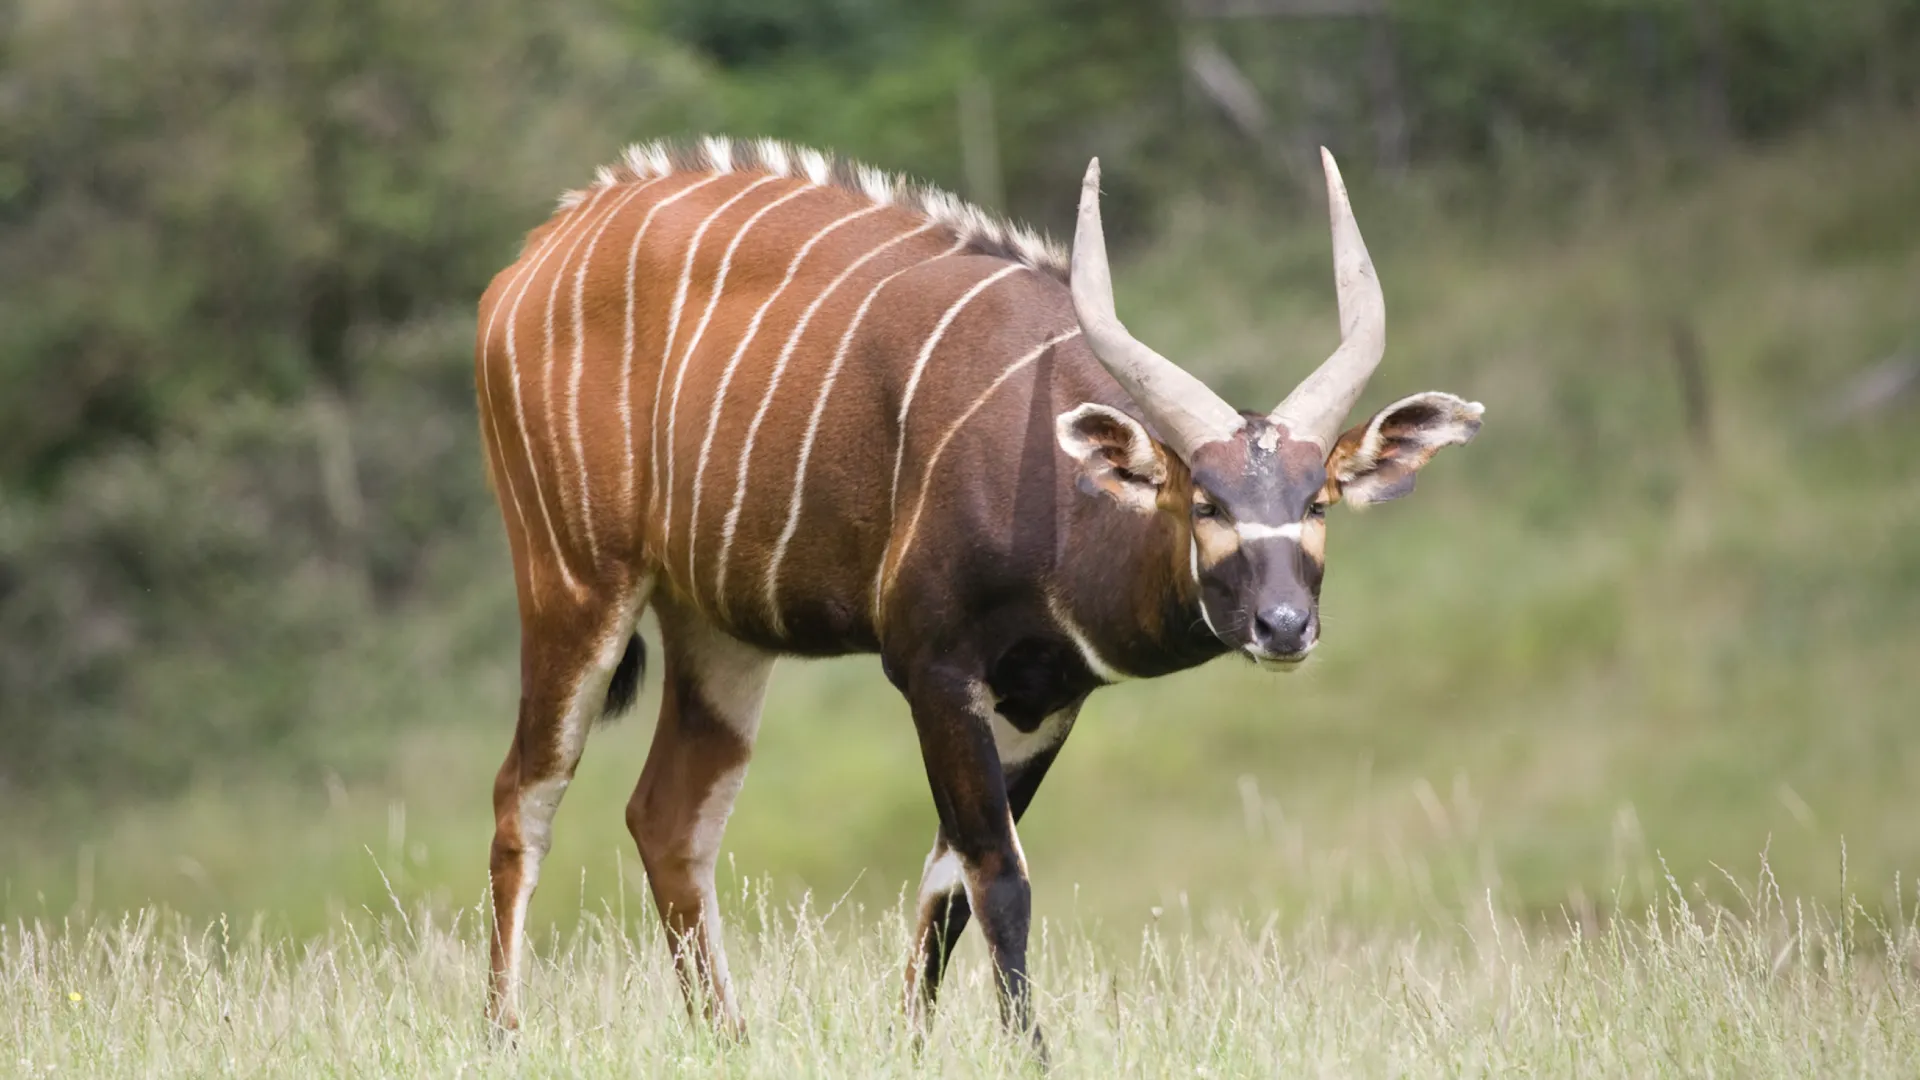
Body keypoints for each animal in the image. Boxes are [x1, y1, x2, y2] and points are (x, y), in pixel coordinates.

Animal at [468, 138, 1482, 1045]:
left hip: (721, 631)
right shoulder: (934, 668)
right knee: (526, 794)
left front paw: (907, 1048)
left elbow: (948, 886)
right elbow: (998, 871)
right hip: (573, 583)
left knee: (669, 819)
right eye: (1206, 500)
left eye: (1315, 501)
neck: (1056, 479)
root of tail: (525, 264)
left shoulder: (1043, 699)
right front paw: (1028, 1052)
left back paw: (730, 1040)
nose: (1283, 625)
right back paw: (505, 1035)